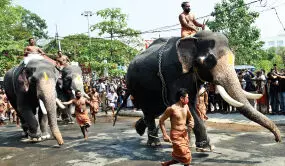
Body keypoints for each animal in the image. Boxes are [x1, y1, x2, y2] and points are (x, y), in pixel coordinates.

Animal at [121, 30, 280, 148]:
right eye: (208, 61)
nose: (278, 139)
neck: (192, 38)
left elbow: (191, 102)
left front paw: (192, 144)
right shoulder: (174, 74)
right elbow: (183, 103)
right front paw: (205, 147)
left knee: (156, 109)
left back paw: (139, 129)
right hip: (136, 87)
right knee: (149, 110)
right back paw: (154, 143)